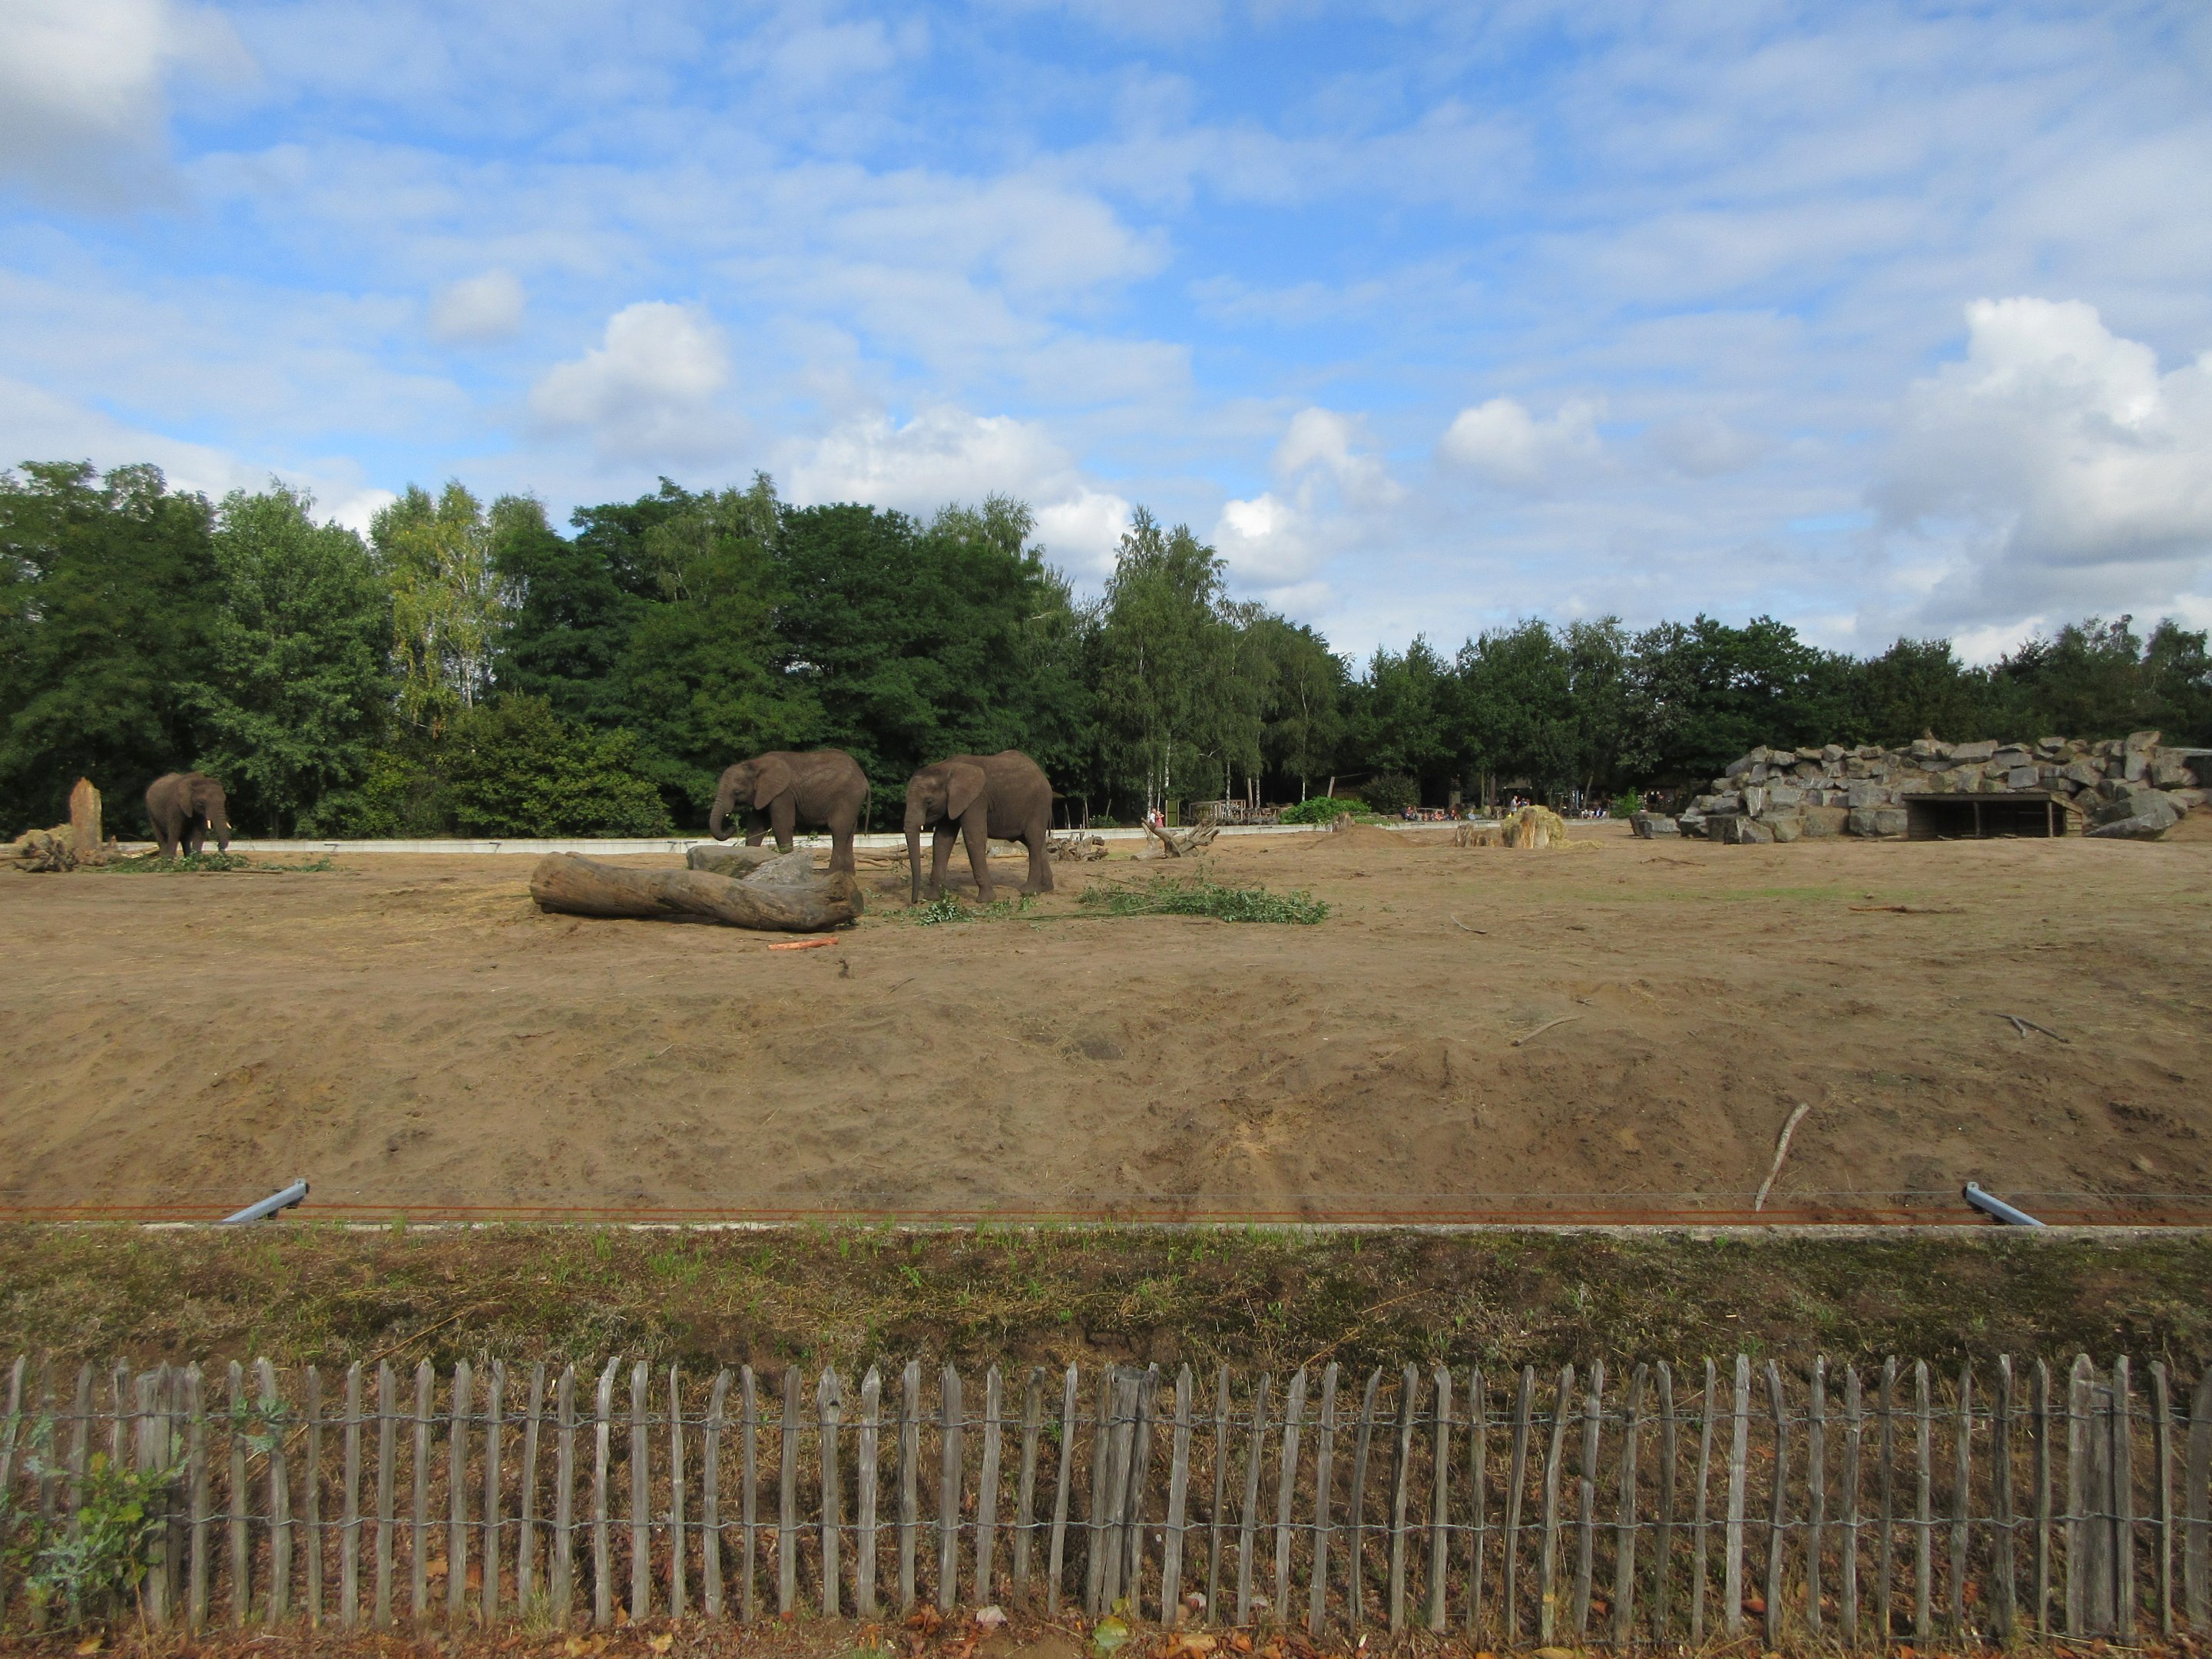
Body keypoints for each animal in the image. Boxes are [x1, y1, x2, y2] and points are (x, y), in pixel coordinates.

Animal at [708, 749, 869, 876]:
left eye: (736, 792)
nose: (732, 826)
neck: (756, 763)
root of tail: (864, 778)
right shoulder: (764, 794)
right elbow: (756, 828)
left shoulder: (783, 794)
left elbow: (781, 825)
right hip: (852, 800)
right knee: (850, 832)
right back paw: (848, 874)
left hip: (847, 797)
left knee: (838, 829)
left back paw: (831, 874)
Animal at [904, 750, 1054, 904]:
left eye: (928, 801)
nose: (915, 901)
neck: (946, 768)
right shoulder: (952, 803)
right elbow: (942, 840)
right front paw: (932, 898)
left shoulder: (976, 800)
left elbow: (974, 838)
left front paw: (986, 900)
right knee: (1035, 842)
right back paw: (1045, 888)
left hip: (1039, 805)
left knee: (1033, 840)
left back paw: (1029, 892)